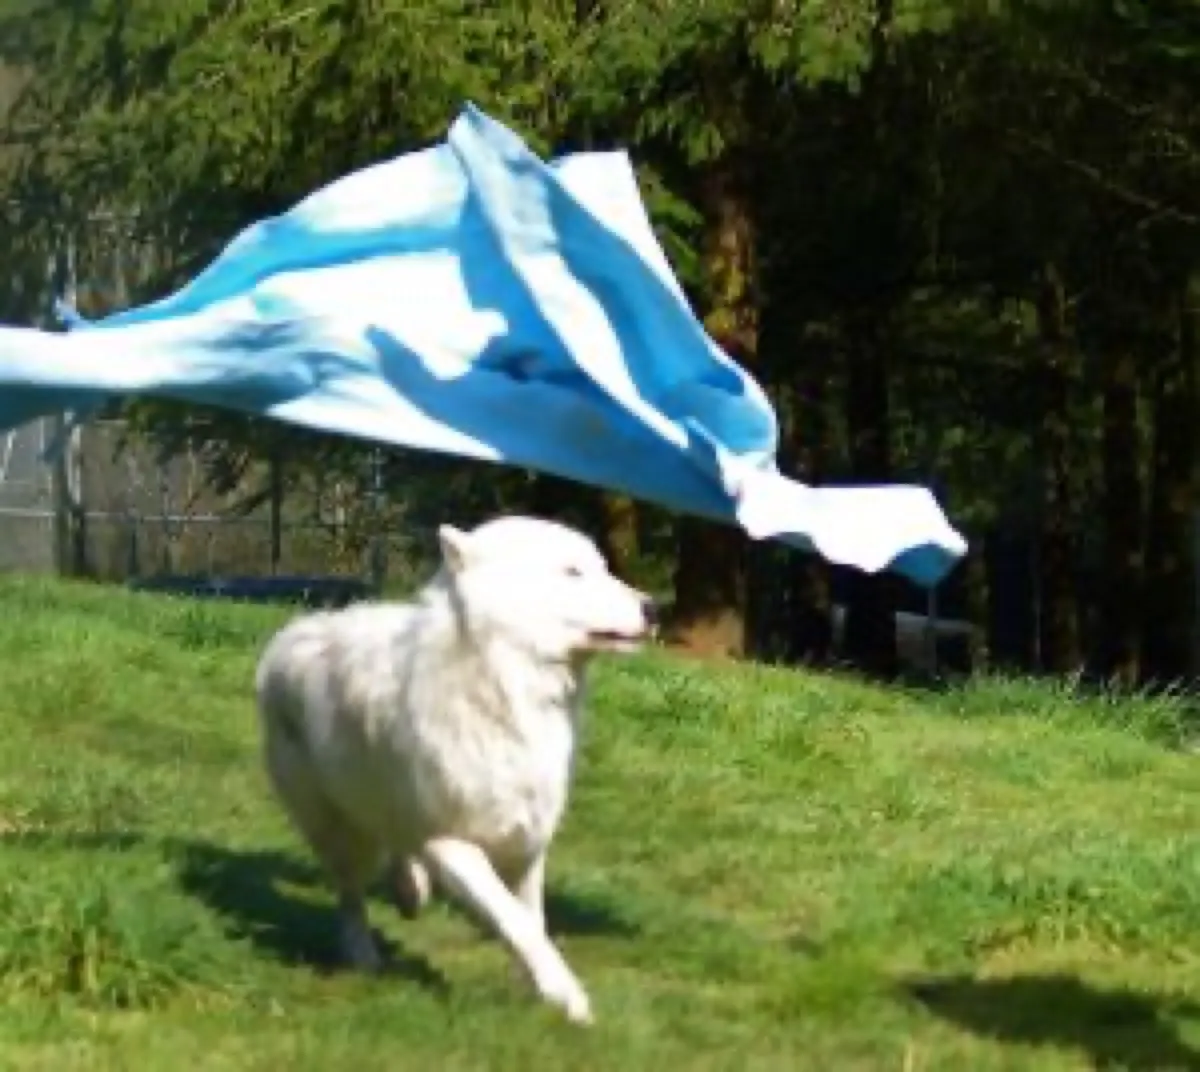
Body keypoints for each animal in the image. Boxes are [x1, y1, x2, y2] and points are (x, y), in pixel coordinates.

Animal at [254, 515, 657, 1024]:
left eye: (601, 567)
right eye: (573, 572)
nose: (654, 609)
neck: (503, 690)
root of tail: (299, 628)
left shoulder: (527, 845)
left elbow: (532, 923)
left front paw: (538, 990)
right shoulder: (451, 844)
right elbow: (516, 923)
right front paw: (567, 998)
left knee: (396, 849)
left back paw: (409, 891)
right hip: (338, 829)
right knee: (351, 892)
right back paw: (364, 954)